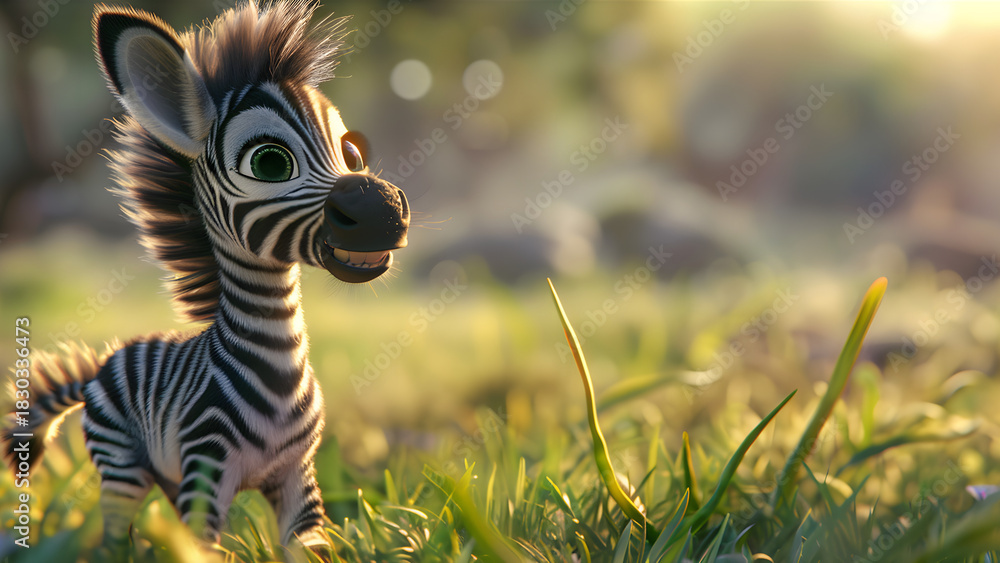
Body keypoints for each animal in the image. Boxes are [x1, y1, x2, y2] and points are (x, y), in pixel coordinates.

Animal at [2, 1, 409, 559]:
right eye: (270, 162)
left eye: (351, 154)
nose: (385, 211)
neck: (279, 364)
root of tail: (101, 363)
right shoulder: (207, 466)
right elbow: (203, 547)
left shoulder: (297, 476)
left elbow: (308, 546)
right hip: (122, 463)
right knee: (114, 534)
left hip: (168, 476)